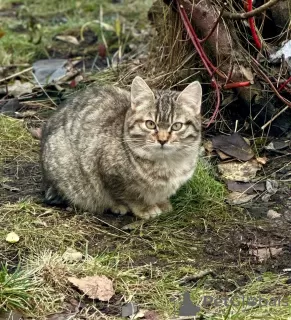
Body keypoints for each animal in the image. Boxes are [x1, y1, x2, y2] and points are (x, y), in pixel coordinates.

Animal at [40, 76, 202, 219]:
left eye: (176, 126)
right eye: (150, 124)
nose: (162, 140)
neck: (167, 164)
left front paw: (162, 203)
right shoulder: (109, 174)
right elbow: (129, 195)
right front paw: (145, 208)